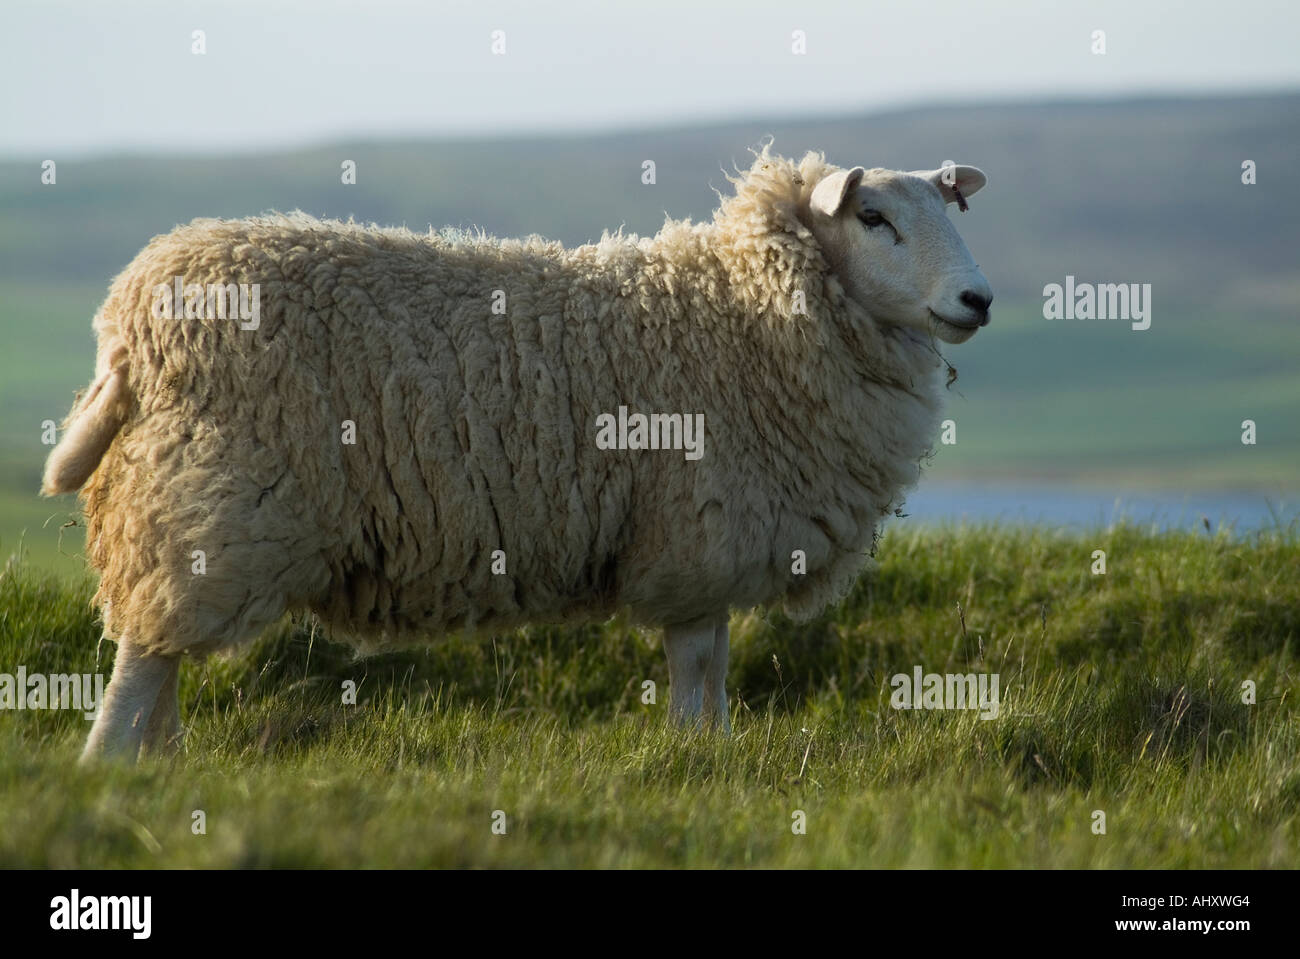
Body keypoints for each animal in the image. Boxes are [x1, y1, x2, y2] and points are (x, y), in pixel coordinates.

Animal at [43, 149, 993, 764]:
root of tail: (127, 319)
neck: (745, 314)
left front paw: (710, 757)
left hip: (175, 505)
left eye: (950, 213)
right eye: (872, 217)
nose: (978, 299)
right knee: (143, 658)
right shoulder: (696, 535)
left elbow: (713, 667)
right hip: (213, 505)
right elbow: (697, 665)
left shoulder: (707, 547)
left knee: (158, 651)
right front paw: (696, 759)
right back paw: (112, 768)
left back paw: (162, 768)